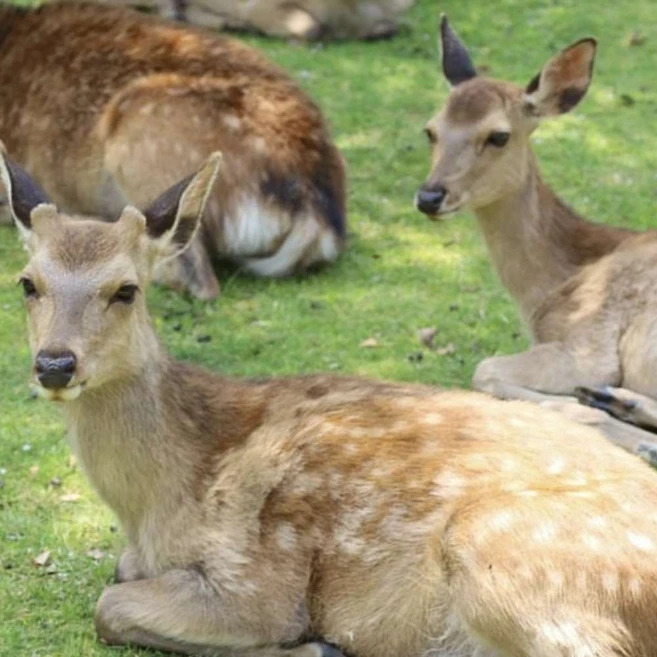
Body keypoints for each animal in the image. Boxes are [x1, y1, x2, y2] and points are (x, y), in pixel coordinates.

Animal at [9, 146, 657, 656]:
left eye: (126, 289)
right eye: (27, 283)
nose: (55, 364)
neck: (155, 503)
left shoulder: (257, 580)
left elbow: (111, 606)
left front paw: (314, 645)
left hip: (500, 548)